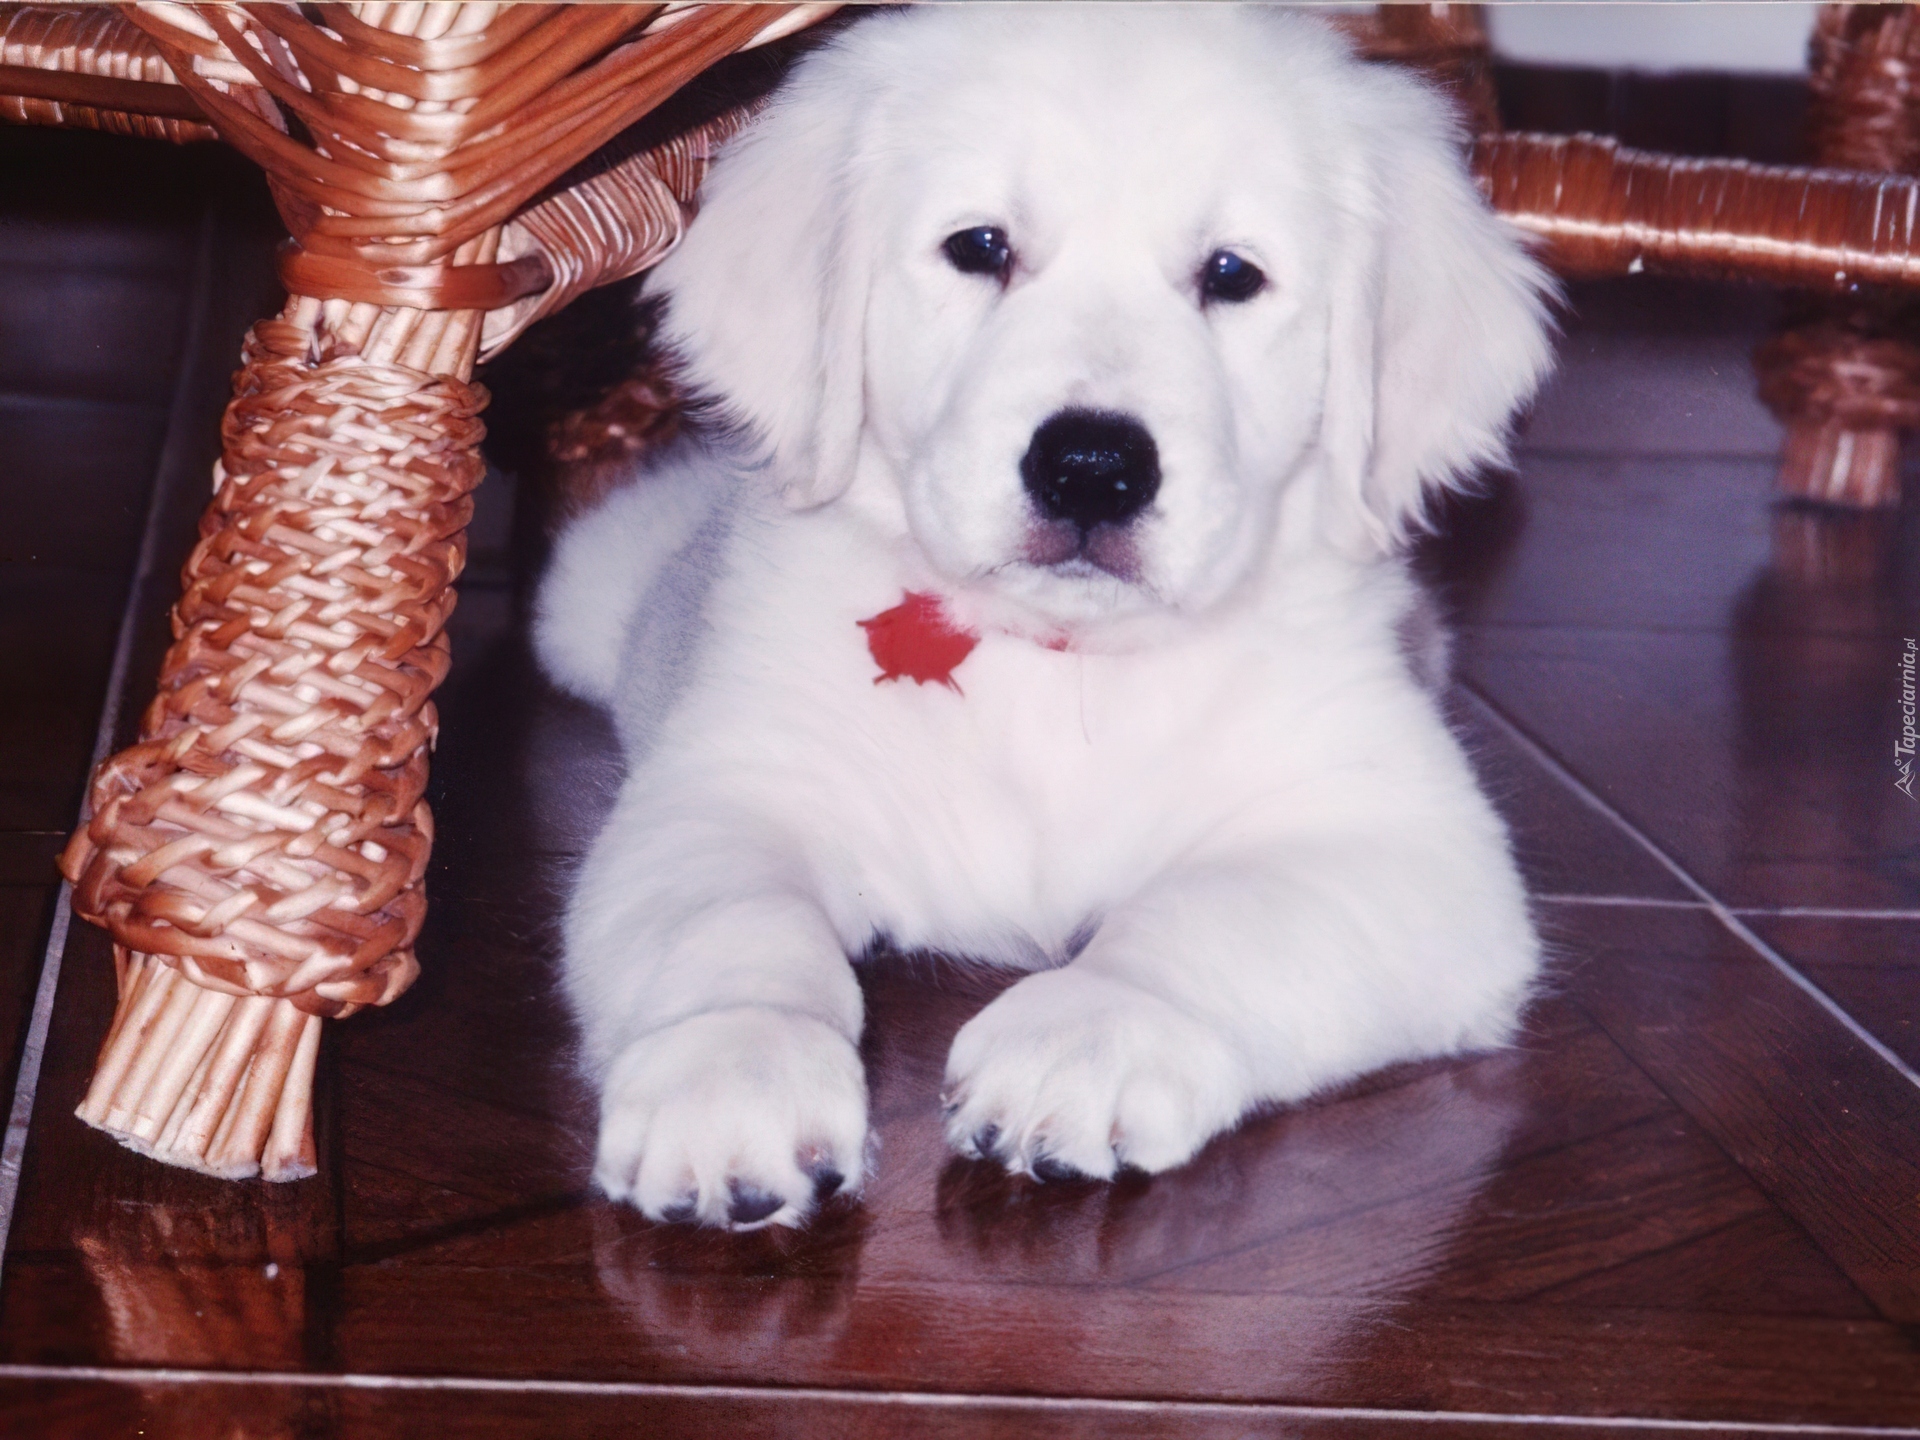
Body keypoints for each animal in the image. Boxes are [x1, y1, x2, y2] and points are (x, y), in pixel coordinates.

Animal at [533, 5, 1551, 1236]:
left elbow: (1213, 921)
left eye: (1231, 275)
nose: (1093, 467)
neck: (1060, 667)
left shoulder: (1411, 849)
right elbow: (731, 922)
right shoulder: (728, 786)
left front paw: (1089, 1035)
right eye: (979, 248)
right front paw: (733, 1071)